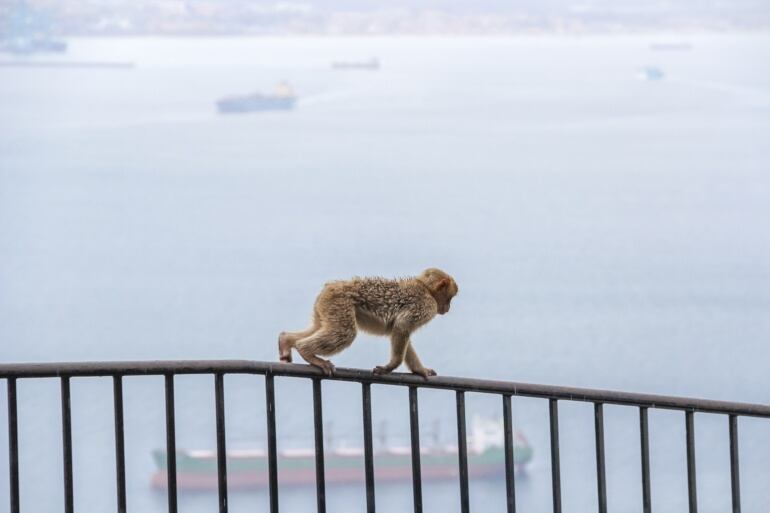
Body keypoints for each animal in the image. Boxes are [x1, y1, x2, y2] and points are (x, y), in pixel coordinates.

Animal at [278, 268, 456, 376]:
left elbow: (399, 330)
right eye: (450, 298)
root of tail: (329, 287)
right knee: (345, 333)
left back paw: (286, 340)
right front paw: (390, 367)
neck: (426, 289)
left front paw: (419, 370)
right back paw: (305, 350)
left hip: (326, 306)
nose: (448, 308)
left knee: (320, 326)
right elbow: (402, 327)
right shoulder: (426, 305)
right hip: (339, 302)